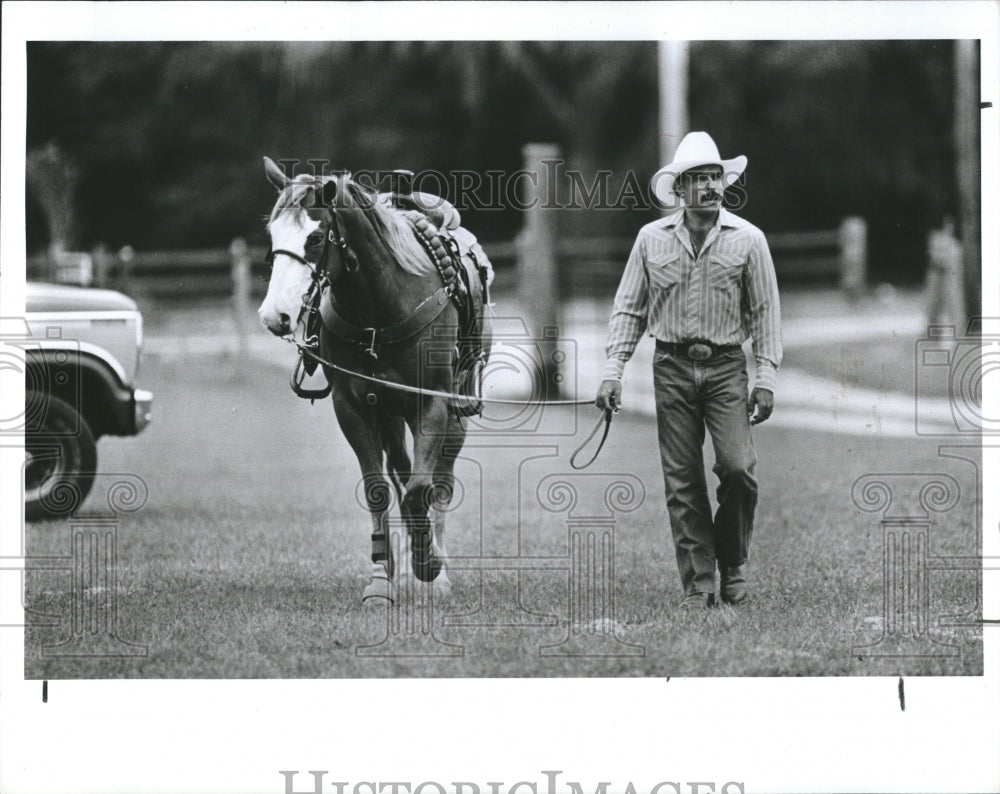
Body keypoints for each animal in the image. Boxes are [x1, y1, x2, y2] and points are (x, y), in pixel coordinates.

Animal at [260, 155, 490, 600]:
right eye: (272, 235)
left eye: (316, 238)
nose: (274, 315)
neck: (381, 309)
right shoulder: (353, 407)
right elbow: (379, 489)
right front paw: (382, 576)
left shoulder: (432, 402)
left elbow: (423, 489)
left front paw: (429, 564)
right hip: (388, 416)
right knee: (401, 475)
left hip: (453, 414)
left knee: (440, 481)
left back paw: (437, 567)